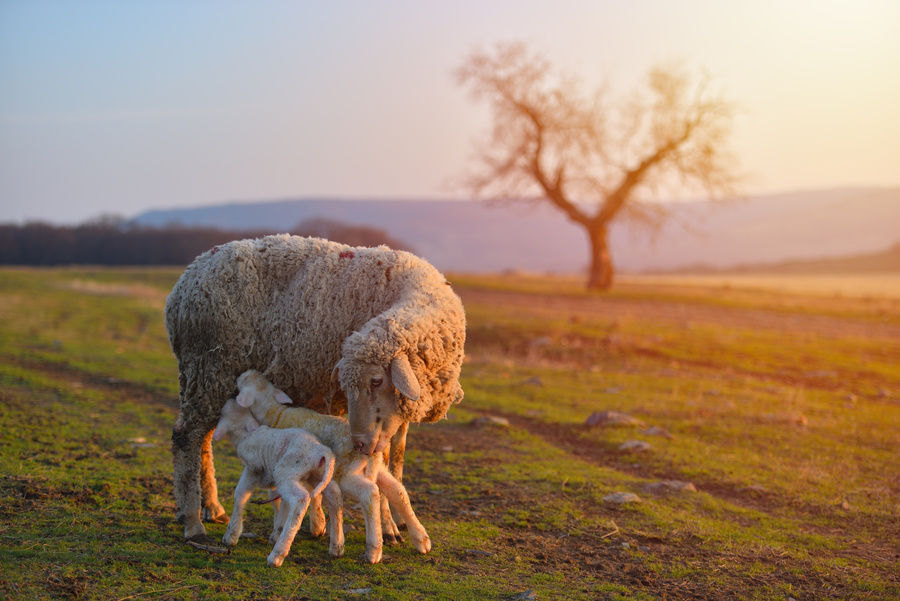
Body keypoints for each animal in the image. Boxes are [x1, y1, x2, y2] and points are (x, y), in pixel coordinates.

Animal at [212, 397, 344, 566]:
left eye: (225, 411)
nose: (232, 398)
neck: (244, 435)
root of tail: (322, 450)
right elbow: (277, 500)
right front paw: (276, 529)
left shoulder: (252, 468)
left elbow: (240, 494)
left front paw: (231, 535)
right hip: (317, 474)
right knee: (335, 495)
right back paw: (337, 547)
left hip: (286, 471)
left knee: (300, 499)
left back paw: (277, 554)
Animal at [235, 369, 431, 564]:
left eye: (243, 382)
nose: (240, 375)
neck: (275, 414)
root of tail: (372, 449)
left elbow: (283, 498)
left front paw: (278, 533)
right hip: (378, 469)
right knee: (397, 490)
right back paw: (422, 540)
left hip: (346, 472)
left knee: (369, 493)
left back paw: (373, 550)